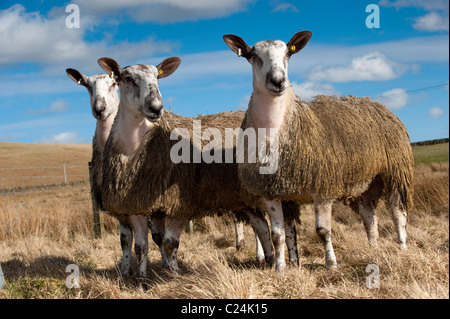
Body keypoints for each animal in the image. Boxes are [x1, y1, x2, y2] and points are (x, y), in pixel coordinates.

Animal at [224, 31, 414, 272]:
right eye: (253, 55)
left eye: (288, 53)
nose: (278, 81)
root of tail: (376, 103)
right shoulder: (270, 191)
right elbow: (276, 235)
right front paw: (279, 269)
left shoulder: (323, 188)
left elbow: (323, 231)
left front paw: (331, 264)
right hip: (364, 184)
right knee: (370, 219)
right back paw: (374, 250)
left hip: (395, 172)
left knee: (398, 213)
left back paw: (402, 248)